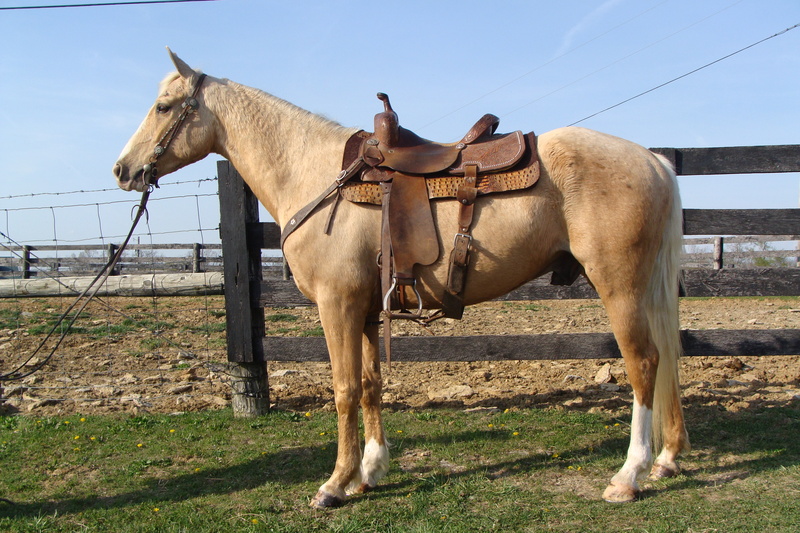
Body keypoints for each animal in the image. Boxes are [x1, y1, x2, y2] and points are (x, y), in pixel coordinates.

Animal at [114, 49, 689, 508]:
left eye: (163, 106)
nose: (122, 170)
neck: (315, 173)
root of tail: (653, 160)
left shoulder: (337, 305)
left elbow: (344, 389)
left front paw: (335, 484)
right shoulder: (368, 309)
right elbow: (371, 385)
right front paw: (369, 472)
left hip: (619, 285)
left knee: (644, 363)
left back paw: (629, 475)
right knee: (666, 358)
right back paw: (667, 459)